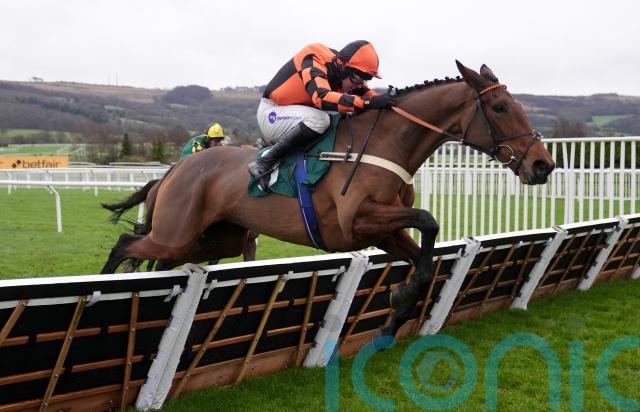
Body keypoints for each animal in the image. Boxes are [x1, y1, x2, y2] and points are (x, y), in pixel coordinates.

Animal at [101, 61, 555, 338]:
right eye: (500, 107)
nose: (543, 164)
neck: (387, 143)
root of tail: (177, 168)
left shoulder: (385, 230)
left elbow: (425, 260)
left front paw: (396, 313)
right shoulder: (356, 221)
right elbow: (428, 218)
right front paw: (399, 301)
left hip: (211, 239)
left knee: (156, 259)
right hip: (177, 234)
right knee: (124, 244)